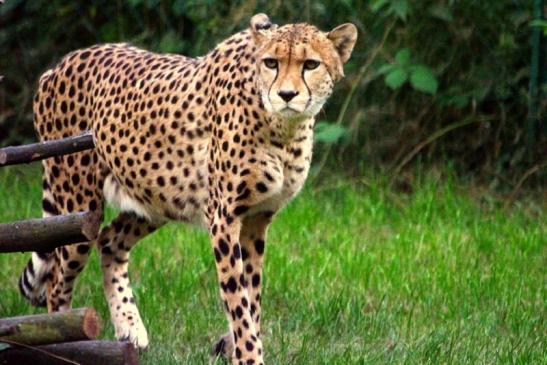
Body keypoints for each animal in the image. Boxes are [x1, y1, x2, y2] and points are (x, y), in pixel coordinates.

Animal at [19, 12, 358, 362]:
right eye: (271, 62)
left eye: (311, 64)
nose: (287, 95)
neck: (283, 129)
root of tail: (62, 63)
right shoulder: (224, 218)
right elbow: (238, 299)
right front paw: (248, 355)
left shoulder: (256, 219)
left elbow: (252, 297)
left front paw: (235, 348)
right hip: (78, 209)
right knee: (58, 281)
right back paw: (65, 347)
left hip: (155, 196)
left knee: (110, 240)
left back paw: (130, 327)